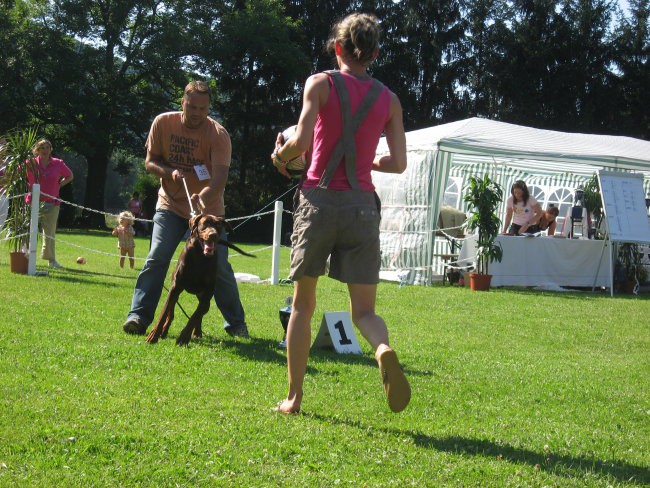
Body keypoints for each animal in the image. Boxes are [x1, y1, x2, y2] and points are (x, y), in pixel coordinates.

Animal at [146, 214, 254, 346]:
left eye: (218, 225)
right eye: (205, 224)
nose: (213, 235)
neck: (200, 256)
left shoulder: (207, 294)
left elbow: (195, 316)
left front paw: (184, 337)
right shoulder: (175, 288)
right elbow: (164, 313)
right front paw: (154, 335)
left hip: (203, 297)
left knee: (200, 313)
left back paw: (196, 332)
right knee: (171, 312)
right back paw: (164, 330)